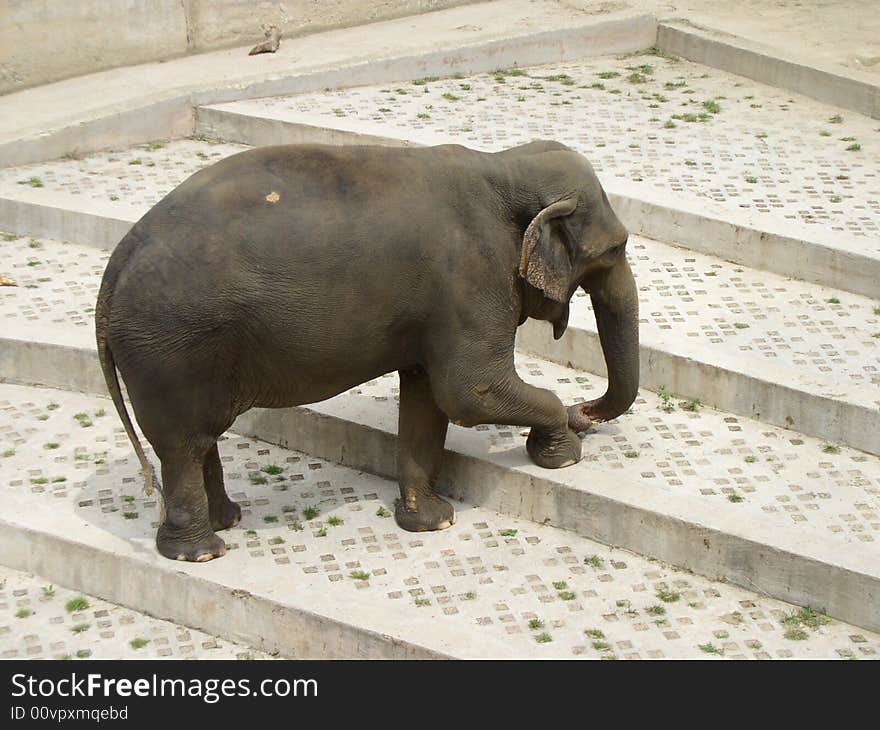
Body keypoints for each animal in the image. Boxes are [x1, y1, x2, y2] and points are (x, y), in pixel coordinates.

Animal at [95, 139, 639, 562]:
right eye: (615, 249)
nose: (586, 411)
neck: (504, 166)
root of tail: (116, 263)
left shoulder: (437, 311)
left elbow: (427, 400)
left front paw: (432, 522)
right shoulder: (471, 282)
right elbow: (471, 392)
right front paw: (564, 454)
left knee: (200, 437)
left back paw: (227, 520)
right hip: (170, 349)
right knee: (182, 445)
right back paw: (202, 551)